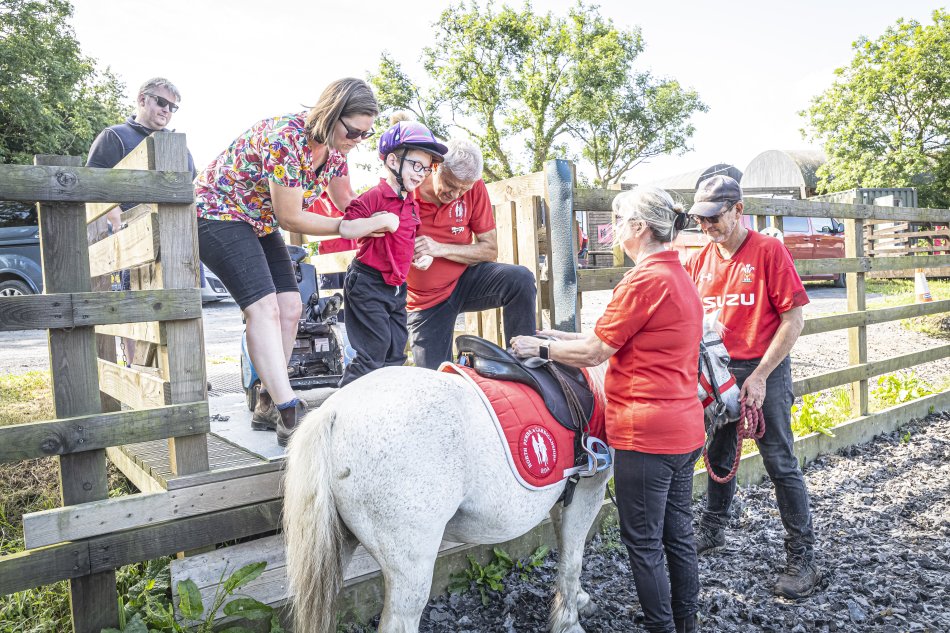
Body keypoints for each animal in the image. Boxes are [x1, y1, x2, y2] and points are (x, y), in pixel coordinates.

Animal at [283, 312, 740, 633]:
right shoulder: (588, 492)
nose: (736, 406)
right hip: (410, 564)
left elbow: (566, 552)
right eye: (723, 358)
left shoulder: (563, 492)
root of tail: (333, 411)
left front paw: (576, 600)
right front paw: (568, 621)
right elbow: (573, 555)